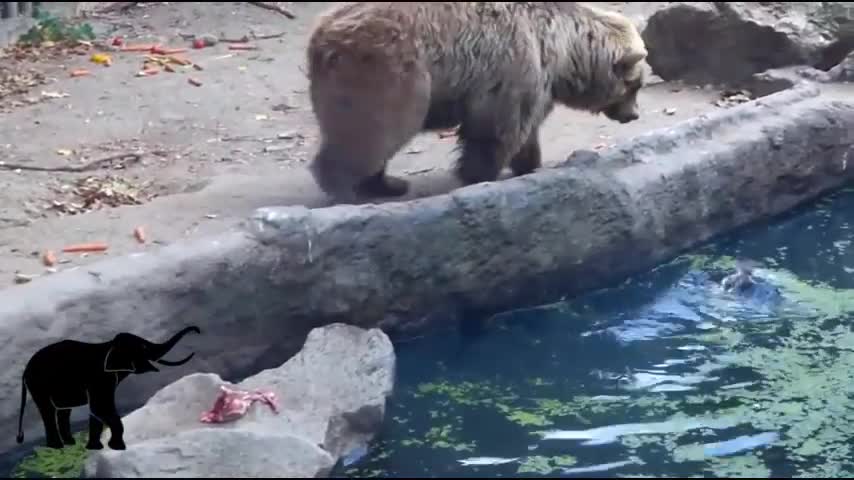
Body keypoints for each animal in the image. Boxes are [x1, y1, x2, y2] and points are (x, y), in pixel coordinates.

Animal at [304, 1, 644, 202]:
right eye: (635, 85)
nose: (634, 115)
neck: (563, 51)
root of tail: (322, 34)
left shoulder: (533, 84)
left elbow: (525, 128)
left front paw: (529, 164)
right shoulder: (512, 70)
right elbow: (495, 132)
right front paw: (480, 176)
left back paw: (387, 185)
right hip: (389, 71)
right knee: (373, 131)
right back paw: (346, 190)